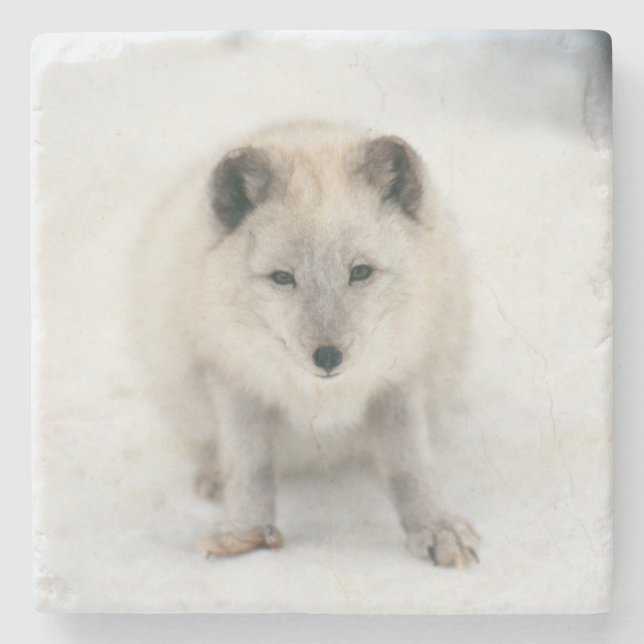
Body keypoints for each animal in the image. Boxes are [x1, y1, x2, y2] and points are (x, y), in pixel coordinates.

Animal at [134, 121, 479, 567]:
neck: (321, 397)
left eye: (360, 272)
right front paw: (244, 531)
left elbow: (410, 466)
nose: (328, 356)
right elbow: (250, 466)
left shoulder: (400, 380)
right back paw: (214, 477)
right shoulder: (233, 379)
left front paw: (434, 527)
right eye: (283, 278)